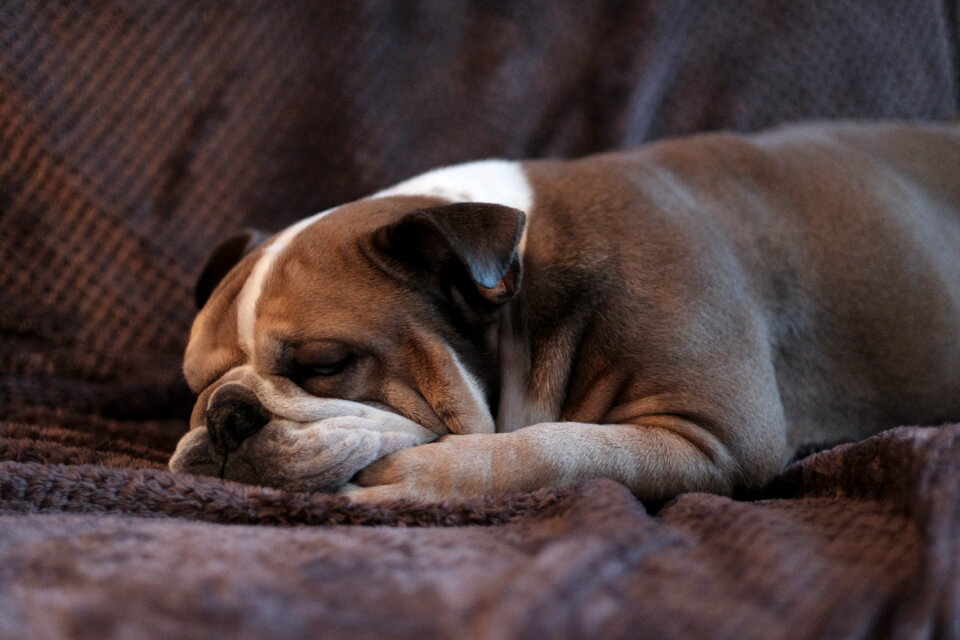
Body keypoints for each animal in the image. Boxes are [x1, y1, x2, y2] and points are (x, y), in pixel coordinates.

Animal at [171, 122, 960, 502]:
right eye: (194, 386)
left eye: (326, 365)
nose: (226, 412)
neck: (524, 293)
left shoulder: (715, 438)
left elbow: (555, 449)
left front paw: (416, 477)